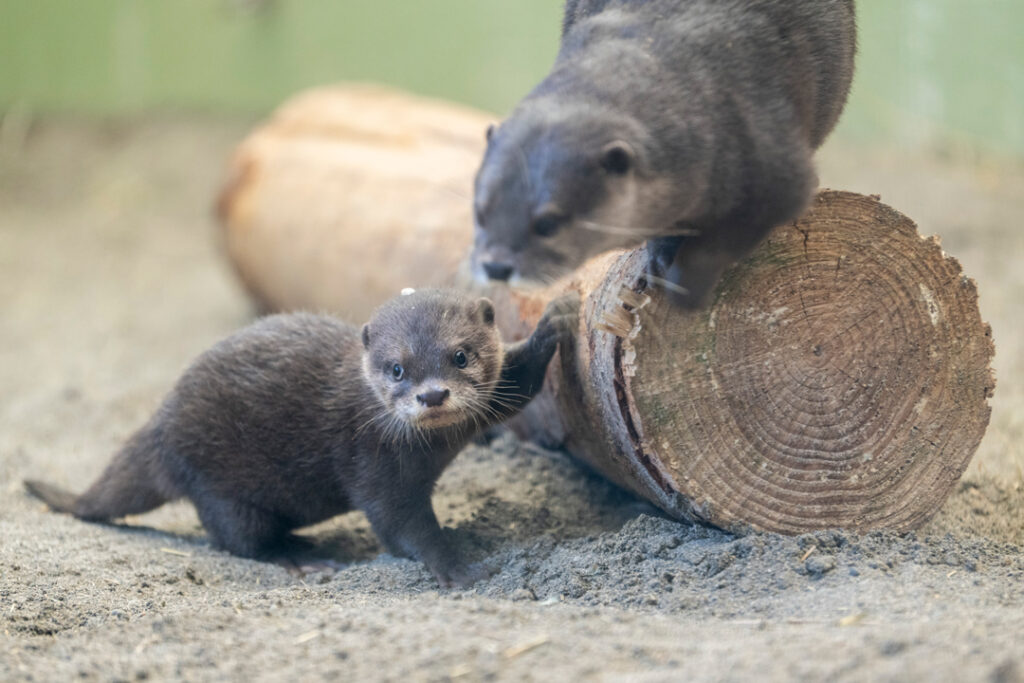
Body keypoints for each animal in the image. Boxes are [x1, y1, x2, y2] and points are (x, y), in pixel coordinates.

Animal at [25, 289, 579, 587]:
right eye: (397, 368)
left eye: (461, 356)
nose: (433, 394)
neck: (431, 448)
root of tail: (160, 426)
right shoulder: (375, 465)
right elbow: (405, 527)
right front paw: (458, 568)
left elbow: (518, 383)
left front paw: (557, 315)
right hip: (220, 487)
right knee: (240, 540)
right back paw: (303, 556)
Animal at [473, 0, 856, 306]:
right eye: (480, 213)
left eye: (547, 223)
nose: (496, 266)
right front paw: (660, 255)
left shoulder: (777, 176)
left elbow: (722, 242)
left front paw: (688, 287)